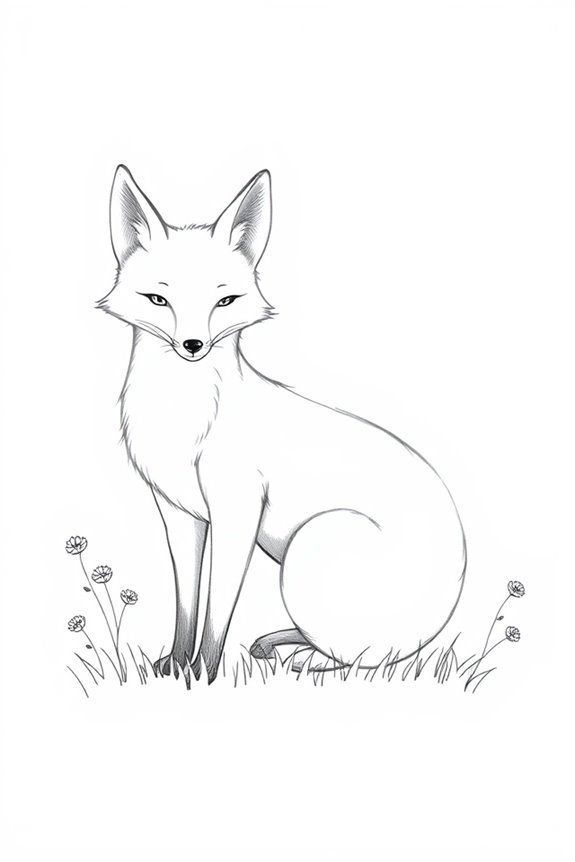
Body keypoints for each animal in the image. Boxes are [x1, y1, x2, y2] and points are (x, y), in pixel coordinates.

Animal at [98, 165, 466, 683]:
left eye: (225, 302)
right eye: (157, 299)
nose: (193, 345)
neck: (183, 418)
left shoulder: (237, 511)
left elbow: (217, 610)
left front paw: (203, 673)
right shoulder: (180, 514)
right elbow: (187, 603)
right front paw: (175, 664)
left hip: (310, 549)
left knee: (363, 656)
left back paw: (311, 661)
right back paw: (275, 643)